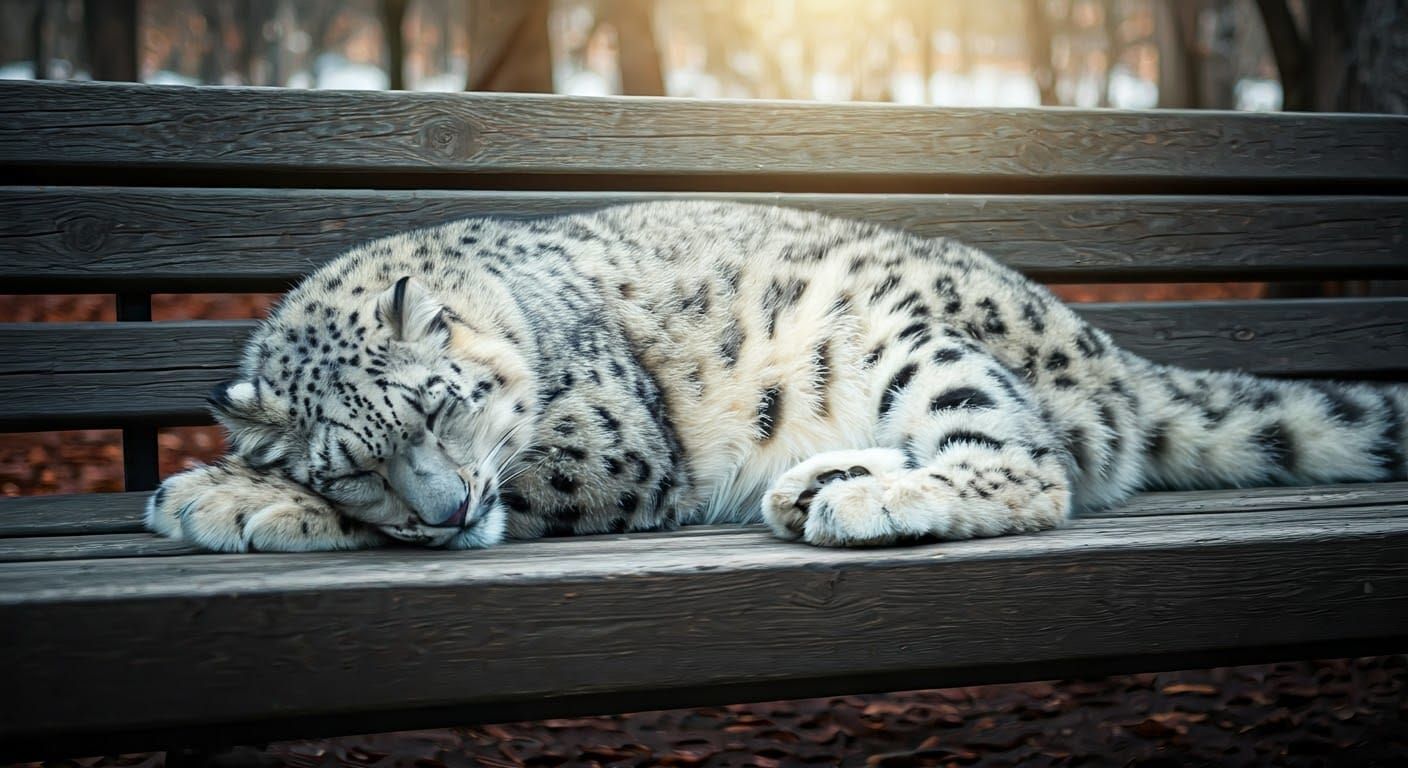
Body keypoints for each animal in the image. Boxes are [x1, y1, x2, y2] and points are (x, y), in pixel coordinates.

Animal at [145, 201, 1408, 552]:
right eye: (356, 465)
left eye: (441, 407)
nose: (451, 512)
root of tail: (1093, 343)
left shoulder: (610, 441)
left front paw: (225, 492)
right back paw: (818, 480)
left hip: (914, 343)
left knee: (1027, 466)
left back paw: (863, 497)